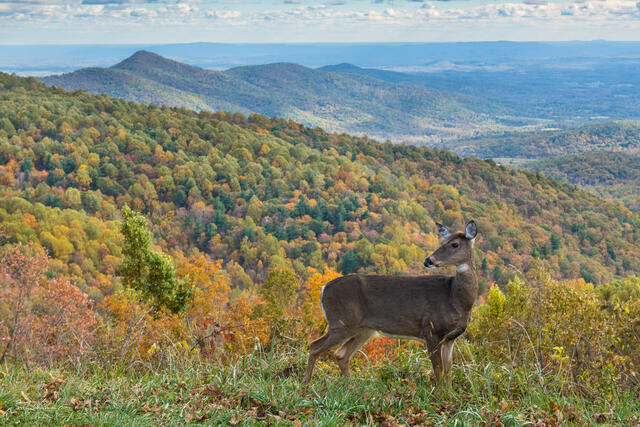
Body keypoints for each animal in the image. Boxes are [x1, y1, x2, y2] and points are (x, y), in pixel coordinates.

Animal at [303, 220, 478, 385]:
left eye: (455, 244)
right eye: (443, 242)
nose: (428, 260)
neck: (455, 298)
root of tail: (323, 289)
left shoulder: (450, 338)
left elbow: (449, 371)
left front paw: (448, 392)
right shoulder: (431, 329)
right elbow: (439, 371)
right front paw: (439, 392)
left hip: (363, 329)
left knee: (341, 354)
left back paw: (349, 386)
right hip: (341, 322)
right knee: (314, 346)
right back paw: (306, 385)